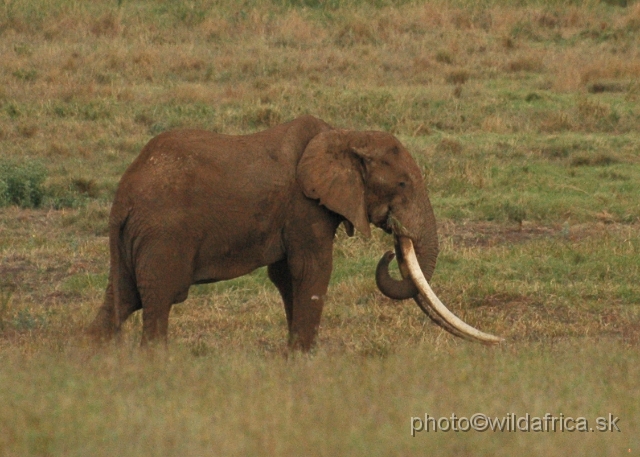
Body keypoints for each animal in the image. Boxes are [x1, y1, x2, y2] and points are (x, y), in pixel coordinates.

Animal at [87, 114, 502, 350]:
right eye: (402, 184)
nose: (392, 246)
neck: (344, 135)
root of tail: (123, 196)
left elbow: (287, 276)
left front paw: (293, 355)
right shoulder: (305, 206)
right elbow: (311, 269)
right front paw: (305, 356)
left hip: (134, 240)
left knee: (122, 299)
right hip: (164, 235)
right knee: (158, 299)